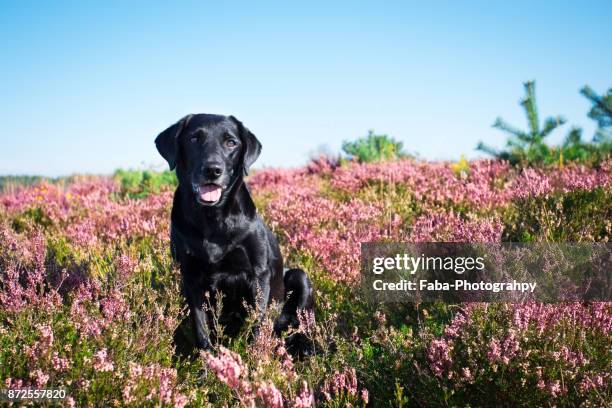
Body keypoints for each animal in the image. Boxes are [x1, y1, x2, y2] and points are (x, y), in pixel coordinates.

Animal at [154, 114, 316, 354]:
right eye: (194, 139)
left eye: (231, 142)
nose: (213, 170)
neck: (212, 218)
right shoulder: (191, 277)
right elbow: (201, 327)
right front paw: (207, 361)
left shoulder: (258, 275)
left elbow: (256, 325)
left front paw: (254, 358)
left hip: (299, 278)